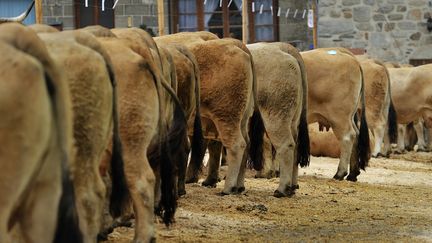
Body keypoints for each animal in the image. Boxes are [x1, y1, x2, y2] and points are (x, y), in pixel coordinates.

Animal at [154, 32, 264, 196]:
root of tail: (236, 45)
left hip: (226, 116)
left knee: (236, 145)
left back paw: (228, 187)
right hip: (241, 118)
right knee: (243, 144)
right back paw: (236, 186)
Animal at [300, 47, 372, 181]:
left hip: (339, 116)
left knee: (348, 136)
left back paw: (340, 173)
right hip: (348, 116)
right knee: (356, 135)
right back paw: (353, 174)